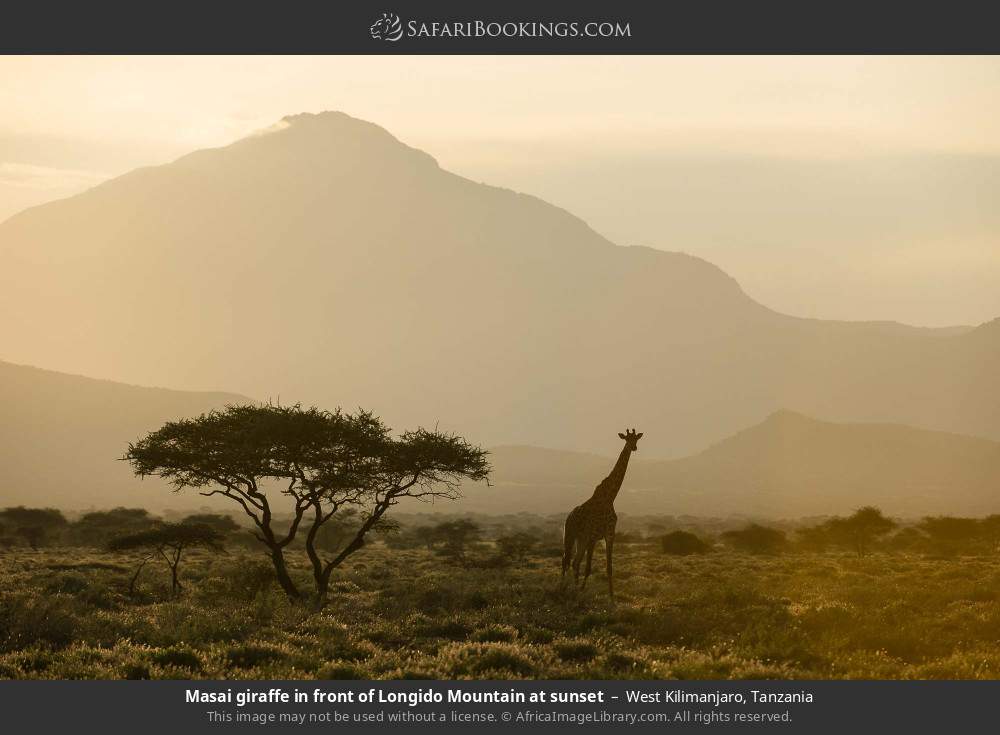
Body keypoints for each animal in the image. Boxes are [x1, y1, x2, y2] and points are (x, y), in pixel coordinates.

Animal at [562, 428, 643, 598]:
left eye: (636, 439)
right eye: (626, 439)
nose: (633, 448)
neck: (610, 497)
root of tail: (568, 516)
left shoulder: (609, 535)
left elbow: (609, 568)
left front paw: (611, 597)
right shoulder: (593, 536)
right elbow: (588, 568)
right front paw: (582, 591)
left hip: (581, 539)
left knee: (575, 562)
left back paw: (572, 587)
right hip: (570, 535)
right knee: (565, 560)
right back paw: (561, 587)